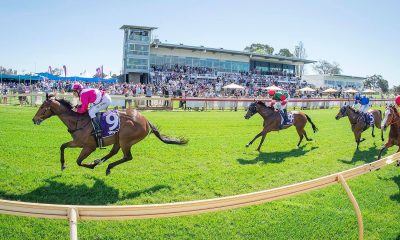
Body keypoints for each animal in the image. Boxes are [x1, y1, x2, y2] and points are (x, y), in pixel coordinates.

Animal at [31, 94, 188, 174]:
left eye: (42, 107)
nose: (34, 119)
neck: (77, 121)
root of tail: (146, 120)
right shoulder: (77, 143)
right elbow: (63, 146)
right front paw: (63, 165)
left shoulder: (88, 146)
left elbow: (79, 161)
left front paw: (90, 165)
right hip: (118, 139)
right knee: (114, 152)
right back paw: (100, 161)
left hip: (125, 139)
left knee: (127, 157)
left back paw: (105, 166)